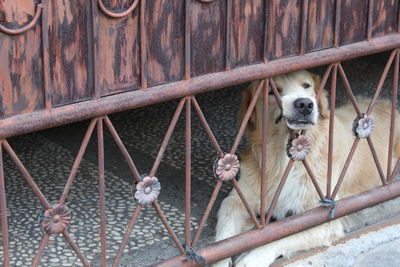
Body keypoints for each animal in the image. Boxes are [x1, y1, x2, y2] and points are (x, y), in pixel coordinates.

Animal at [214, 70, 400, 266]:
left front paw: (251, 259)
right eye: (272, 91)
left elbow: (280, 236)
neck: (284, 157)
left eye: (306, 85)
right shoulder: (235, 201)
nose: (304, 104)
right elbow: (224, 240)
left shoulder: (320, 218)